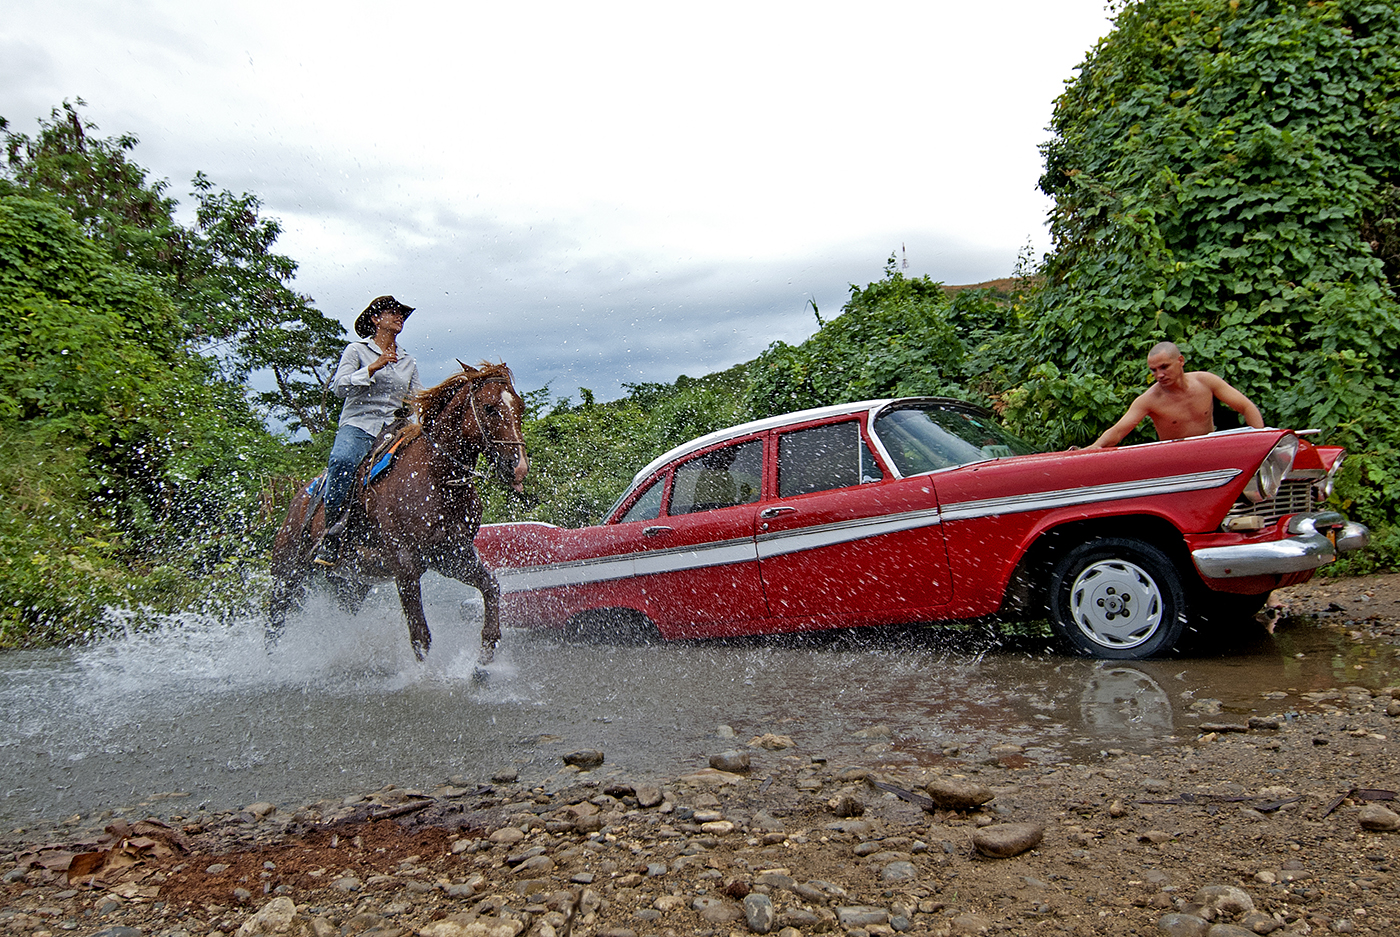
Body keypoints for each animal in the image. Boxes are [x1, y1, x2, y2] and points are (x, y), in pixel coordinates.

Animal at [264, 361, 526, 661]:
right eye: (489, 407)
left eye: (520, 408)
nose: (519, 467)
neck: (437, 477)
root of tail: (297, 500)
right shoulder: (406, 566)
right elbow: (420, 637)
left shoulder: (451, 557)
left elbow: (491, 587)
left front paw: (484, 659)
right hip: (287, 573)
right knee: (275, 620)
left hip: (349, 583)